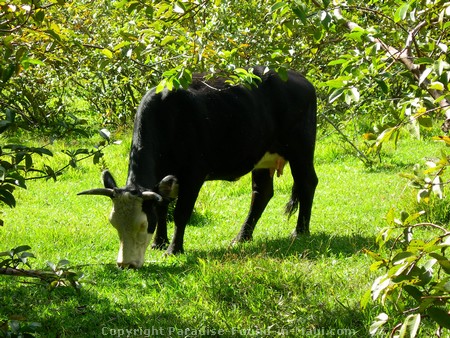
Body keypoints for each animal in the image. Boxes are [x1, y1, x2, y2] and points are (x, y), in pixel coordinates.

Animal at [78, 66, 316, 268]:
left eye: (143, 225)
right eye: (114, 224)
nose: (125, 264)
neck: (169, 117)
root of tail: (298, 77)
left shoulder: (193, 175)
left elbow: (181, 212)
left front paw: (173, 249)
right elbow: (162, 208)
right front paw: (159, 243)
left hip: (301, 148)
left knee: (307, 182)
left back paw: (300, 231)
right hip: (262, 156)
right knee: (262, 193)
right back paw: (242, 237)